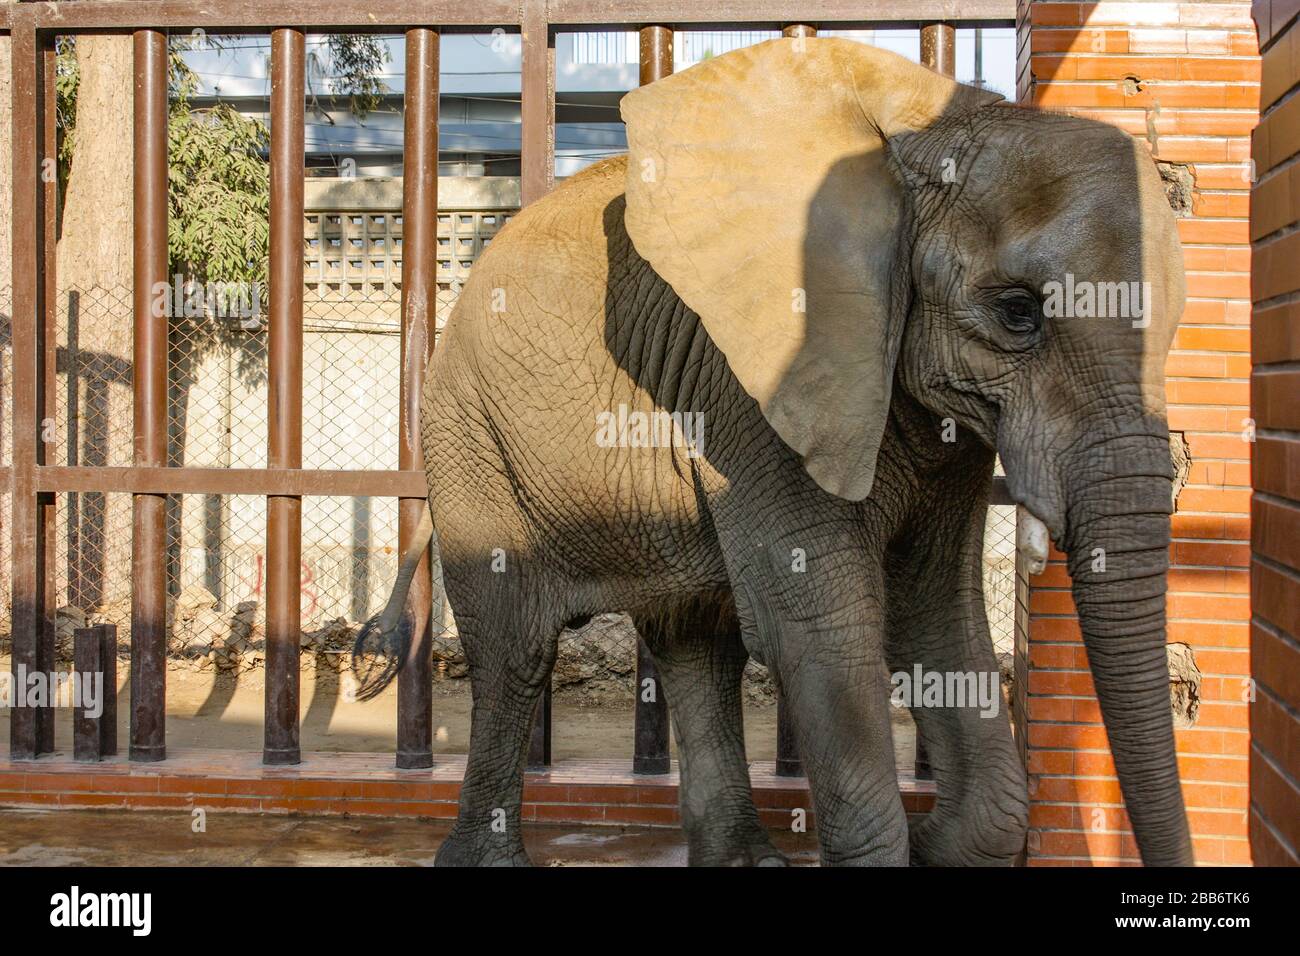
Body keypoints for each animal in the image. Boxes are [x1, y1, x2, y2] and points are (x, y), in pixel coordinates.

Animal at [353, 37, 1190, 868]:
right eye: (1018, 313)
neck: (928, 133)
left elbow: (931, 611)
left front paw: (937, 842)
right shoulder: (755, 390)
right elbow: (819, 631)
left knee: (697, 642)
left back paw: (740, 859)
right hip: (469, 432)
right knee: (516, 650)